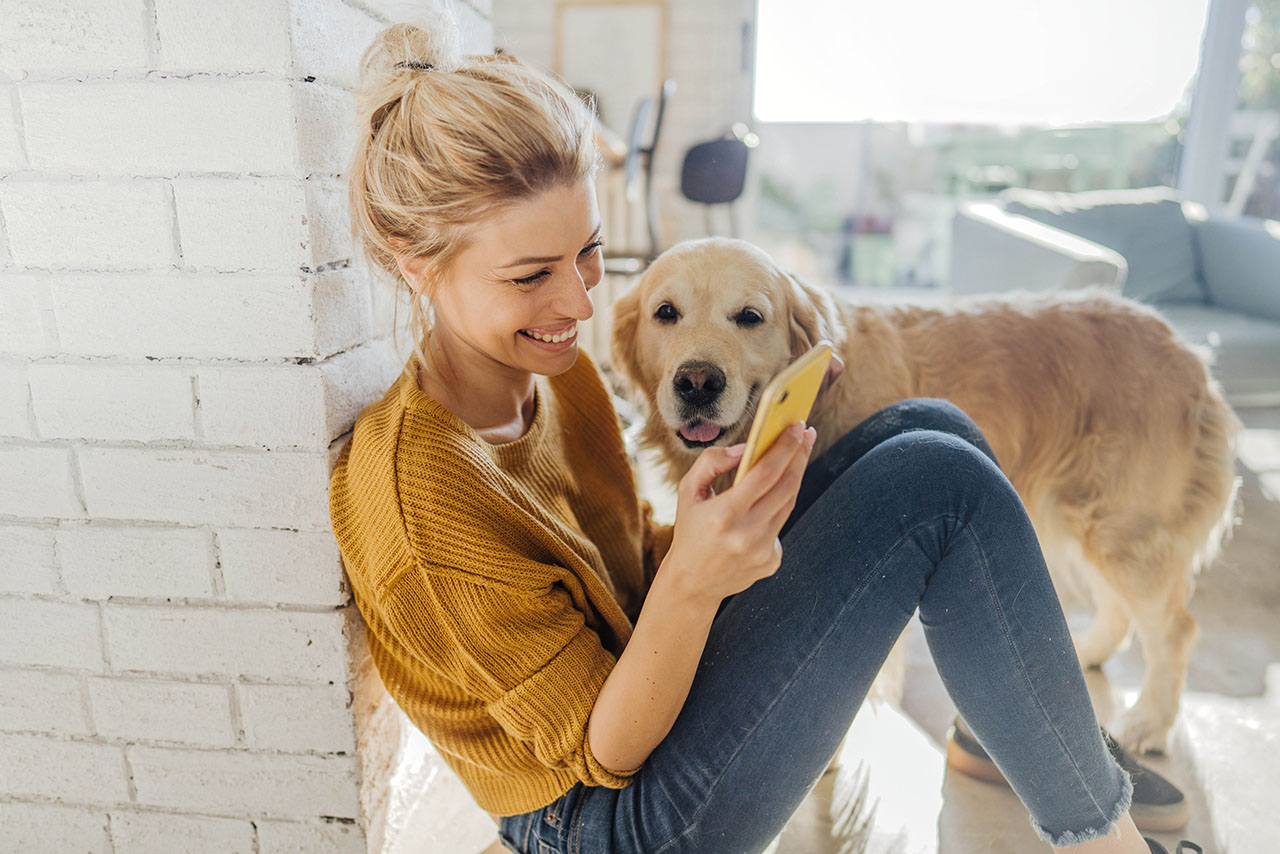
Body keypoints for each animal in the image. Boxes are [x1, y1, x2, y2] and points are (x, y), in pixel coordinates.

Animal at [609, 236, 1239, 752]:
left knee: (1174, 629)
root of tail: (1189, 352)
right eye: (665, 313)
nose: (697, 382)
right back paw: (1080, 655)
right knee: (1120, 612)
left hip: (1124, 526)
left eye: (749, 316)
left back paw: (1148, 724)